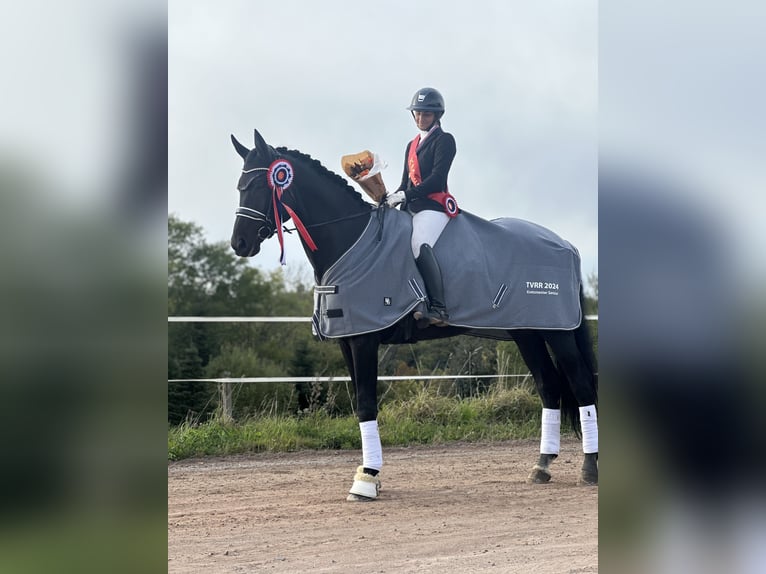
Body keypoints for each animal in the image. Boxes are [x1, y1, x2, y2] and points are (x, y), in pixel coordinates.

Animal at [230, 129, 600, 500]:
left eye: (261, 185)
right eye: (240, 186)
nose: (240, 244)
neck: (353, 242)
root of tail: (566, 244)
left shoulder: (364, 340)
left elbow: (366, 403)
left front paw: (366, 480)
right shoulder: (347, 340)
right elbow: (360, 404)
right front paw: (369, 474)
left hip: (558, 332)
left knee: (581, 386)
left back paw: (589, 468)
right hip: (527, 332)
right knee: (549, 387)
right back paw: (542, 466)